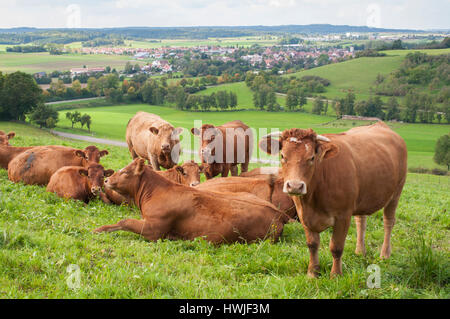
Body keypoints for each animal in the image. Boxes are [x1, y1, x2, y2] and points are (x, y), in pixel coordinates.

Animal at [94, 158, 288, 245]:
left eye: (125, 172)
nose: (106, 180)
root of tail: (278, 214)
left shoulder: (154, 229)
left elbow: (124, 221)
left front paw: (100, 229)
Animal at [256, 122, 408, 278]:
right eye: (282, 156)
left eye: (312, 158)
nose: (295, 186)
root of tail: (380, 124)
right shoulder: (304, 215)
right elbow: (312, 244)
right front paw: (312, 273)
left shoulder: (343, 216)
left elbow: (336, 247)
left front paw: (335, 275)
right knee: (361, 221)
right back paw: (360, 251)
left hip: (396, 193)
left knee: (388, 222)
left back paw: (385, 255)